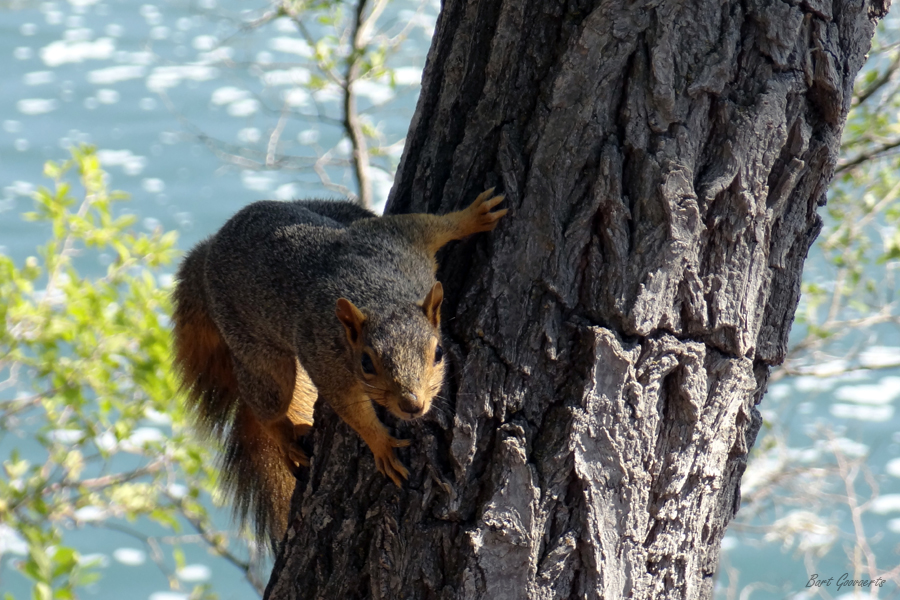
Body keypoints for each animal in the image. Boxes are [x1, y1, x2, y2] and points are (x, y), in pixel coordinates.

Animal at [171, 189, 506, 548]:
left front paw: (474, 216)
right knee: (266, 400)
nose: (411, 405)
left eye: (439, 352)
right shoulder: (326, 360)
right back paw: (284, 436)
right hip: (254, 348)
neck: (378, 295)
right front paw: (380, 443)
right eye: (366, 363)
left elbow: (429, 224)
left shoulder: (398, 242)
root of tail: (211, 248)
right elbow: (350, 409)